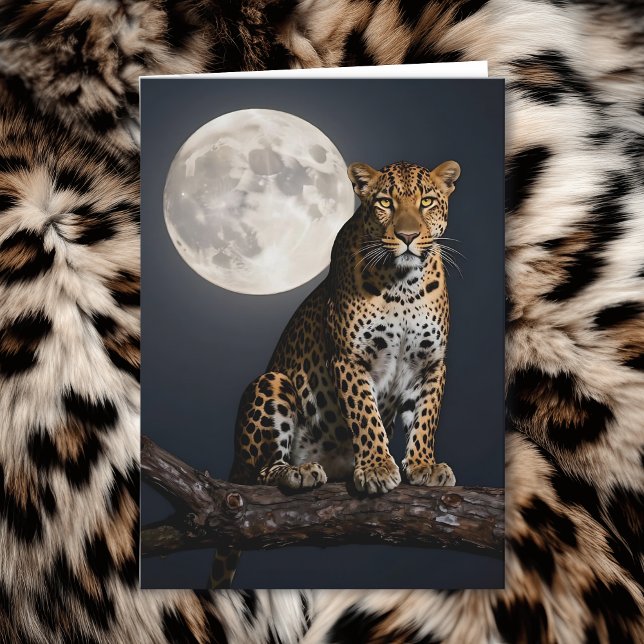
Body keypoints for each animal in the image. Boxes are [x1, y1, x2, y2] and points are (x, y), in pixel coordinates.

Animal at [0, 0, 643, 642]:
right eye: (384, 203)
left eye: (426, 202)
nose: (407, 235)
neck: (402, 286)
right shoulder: (349, 360)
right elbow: (366, 416)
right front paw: (380, 468)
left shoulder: (431, 363)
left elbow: (425, 419)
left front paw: (422, 466)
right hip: (269, 390)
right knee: (251, 478)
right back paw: (295, 473)